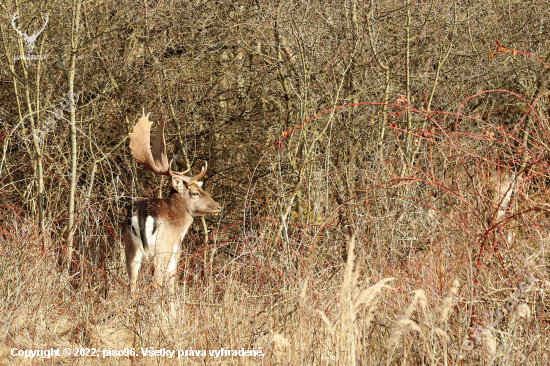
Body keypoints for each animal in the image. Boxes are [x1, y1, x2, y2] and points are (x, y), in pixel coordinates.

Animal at [123, 113, 222, 294]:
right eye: (195, 192)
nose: (218, 206)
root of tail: (142, 215)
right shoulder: (175, 251)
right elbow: (171, 283)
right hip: (161, 250)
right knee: (157, 280)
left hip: (131, 248)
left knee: (131, 281)